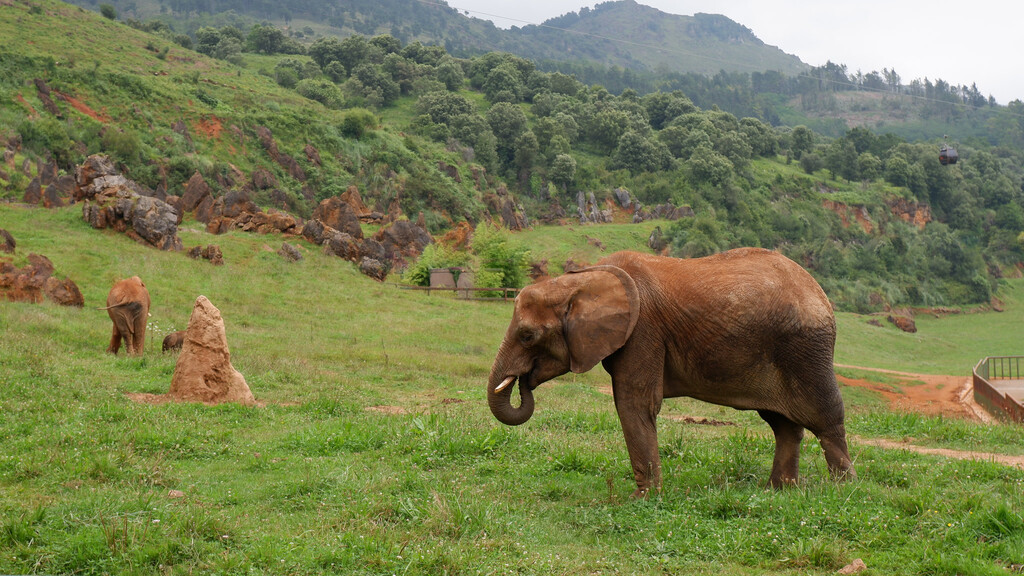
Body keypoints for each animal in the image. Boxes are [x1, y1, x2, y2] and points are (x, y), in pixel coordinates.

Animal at [487, 249, 856, 496]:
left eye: (527, 336)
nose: (524, 382)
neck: (582, 279)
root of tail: (819, 290)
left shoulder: (643, 331)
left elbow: (634, 403)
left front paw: (642, 499)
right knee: (783, 425)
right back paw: (778, 491)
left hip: (806, 349)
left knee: (824, 417)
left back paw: (843, 490)